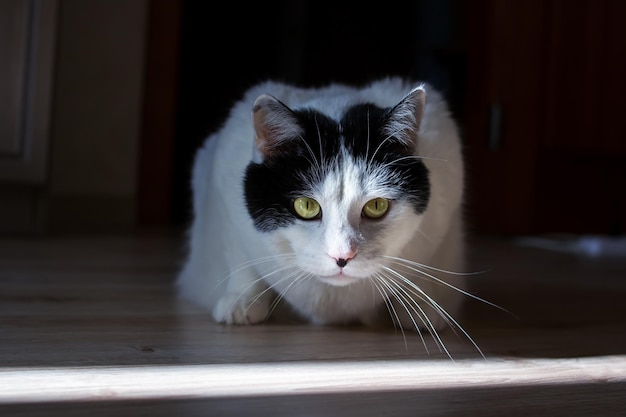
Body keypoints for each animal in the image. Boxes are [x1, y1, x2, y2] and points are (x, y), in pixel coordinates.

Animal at [176, 76, 468, 346]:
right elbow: (240, 256)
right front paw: (242, 299)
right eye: (306, 206)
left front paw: (421, 303)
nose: (342, 256)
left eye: (376, 206)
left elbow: (426, 263)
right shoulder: (221, 175)